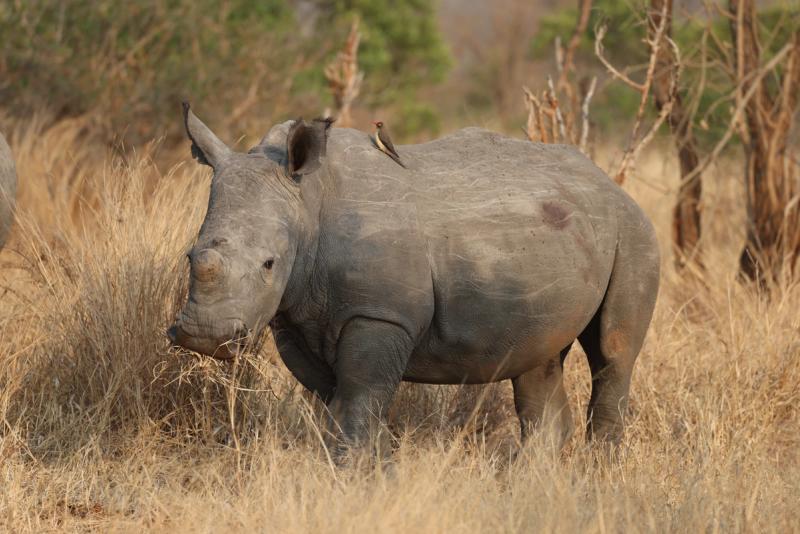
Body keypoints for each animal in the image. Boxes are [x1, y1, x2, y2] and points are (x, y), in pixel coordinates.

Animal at [168, 104, 660, 449]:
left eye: (269, 264)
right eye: (190, 256)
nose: (204, 336)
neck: (308, 202)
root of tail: (609, 181)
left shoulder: (380, 312)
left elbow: (359, 401)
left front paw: (358, 481)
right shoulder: (294, 314)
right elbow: (339, 404)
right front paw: (369, 471)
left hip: (633, 229)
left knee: (612, 354)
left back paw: (598, 475)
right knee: (538, 358)